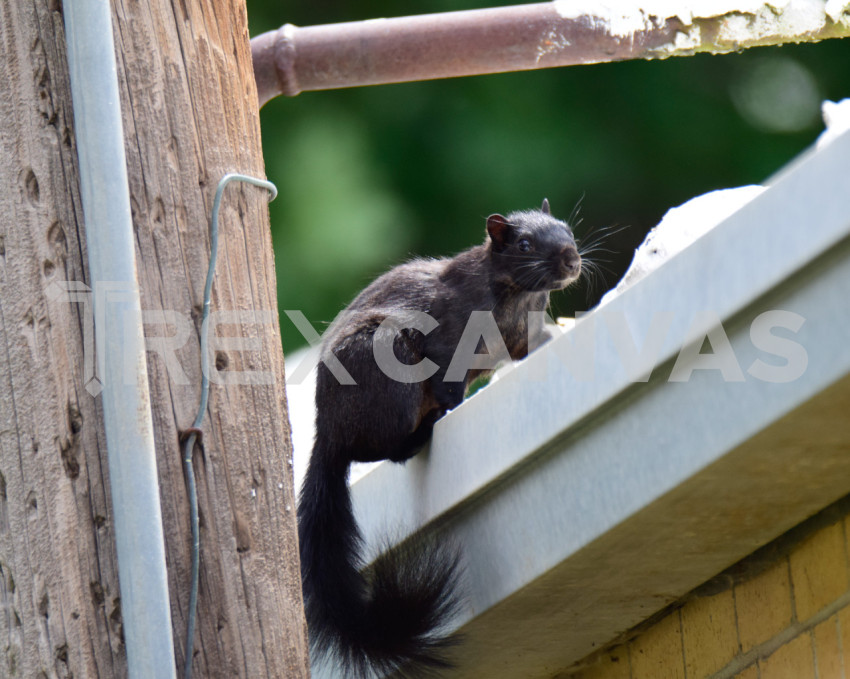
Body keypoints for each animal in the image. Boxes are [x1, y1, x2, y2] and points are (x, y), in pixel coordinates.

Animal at [294, 199, 580, 676]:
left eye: (568, 230)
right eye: (524, 244)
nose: (572, 258)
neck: (516, 296)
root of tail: (328, 434)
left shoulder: (522, 338)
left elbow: (531, 347)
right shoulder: (449, 343)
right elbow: (449, 384)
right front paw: (453, 409)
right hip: (389, 369)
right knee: (379, 451)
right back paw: (420, 433)